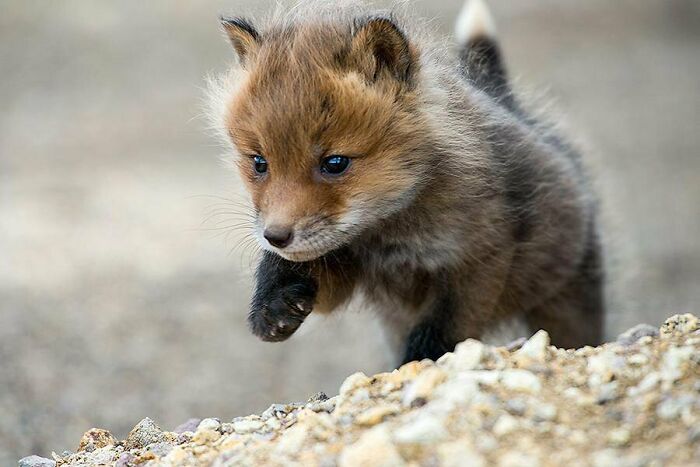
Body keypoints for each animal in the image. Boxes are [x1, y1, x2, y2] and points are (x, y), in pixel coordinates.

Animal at [209, 0, 605, 365]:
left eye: (334, 163)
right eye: (259, 163)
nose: (276, 237)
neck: (389, 232)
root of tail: (504, 101)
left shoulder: (481, 258)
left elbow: (440, 330)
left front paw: (420, 362)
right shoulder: (346, 263)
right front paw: (274, 301)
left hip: (565, 300)